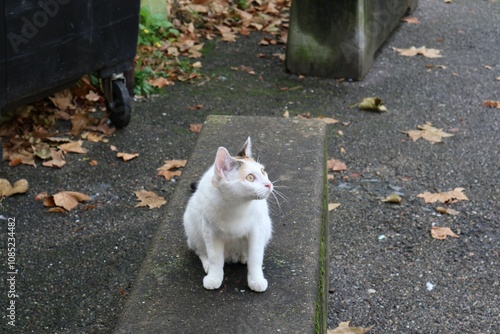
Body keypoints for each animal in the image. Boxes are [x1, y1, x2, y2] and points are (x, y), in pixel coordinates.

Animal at [184, 137, 274, 290]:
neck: (236, 206)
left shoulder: (258, 229)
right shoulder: (209, 231)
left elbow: (256, 257)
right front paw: (214, 277)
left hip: (267, 227)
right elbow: (215, 257)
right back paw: (207, 264)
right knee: (200, 250)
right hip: (192, 226)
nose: (269, 184)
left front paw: (256, 279)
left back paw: (244, 256)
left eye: (263, 171)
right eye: (250, 178)